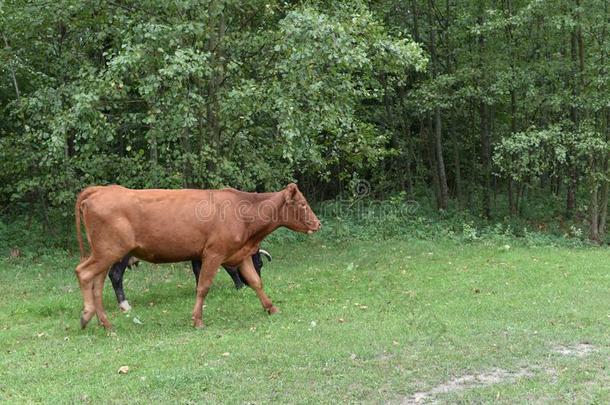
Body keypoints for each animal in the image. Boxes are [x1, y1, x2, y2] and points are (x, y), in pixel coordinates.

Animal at [75, 183, 318, 328]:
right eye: (303, 203)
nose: (317, 223)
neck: (242, 213)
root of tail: (101, 189)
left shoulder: (240, 254)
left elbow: (255, 282)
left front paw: (271, 307)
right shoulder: (213, 254)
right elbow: (203, 286)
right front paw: (197, 320)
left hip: (106, 254)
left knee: (97, 284)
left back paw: (105, 323)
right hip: (109, 251)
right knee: (84, 273)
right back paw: (88, 314)